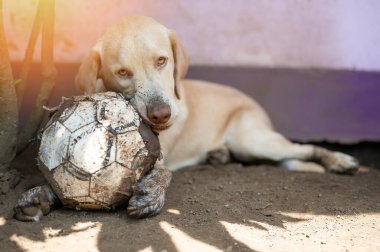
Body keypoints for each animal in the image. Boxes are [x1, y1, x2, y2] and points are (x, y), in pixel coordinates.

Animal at [13, 15, 358, 220]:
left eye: (162, 60)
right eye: (122, 72)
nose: (161, 114)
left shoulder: (160, 157)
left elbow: (162, 174)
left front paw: (151, 194)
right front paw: (40, 194)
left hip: (253, 140)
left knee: (303, 149)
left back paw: (339, 160)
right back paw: (218, 155)